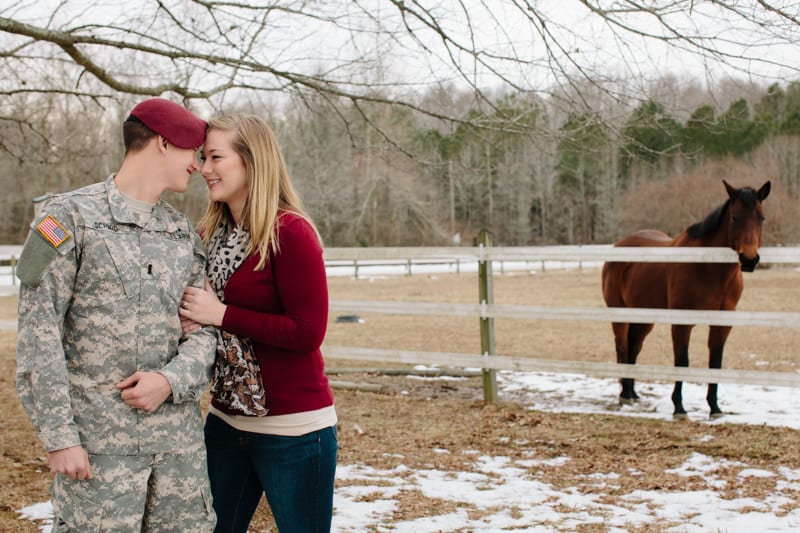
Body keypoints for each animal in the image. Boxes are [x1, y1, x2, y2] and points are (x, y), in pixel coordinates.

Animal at [608, 181, 768, 418]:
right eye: (734, 217)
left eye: (761, 217)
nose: (749, 259)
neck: (707, 267)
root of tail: (620, 245)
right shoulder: (682, 322)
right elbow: (682, 361)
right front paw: (679, 407)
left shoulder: (722, 324)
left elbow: (715, 362)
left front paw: (714, 407)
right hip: (620, 314)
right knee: (621, 347)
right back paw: (625, 395)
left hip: (644, 318)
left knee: (633, 348)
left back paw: (633, 393)